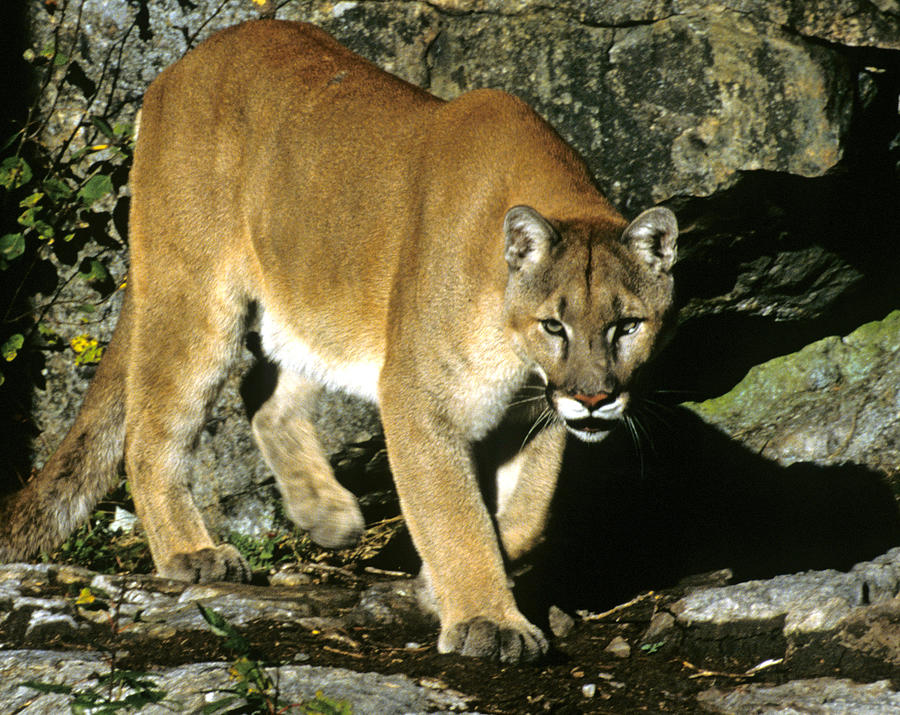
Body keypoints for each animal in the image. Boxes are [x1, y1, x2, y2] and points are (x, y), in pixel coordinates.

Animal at [0, 19, 676, 664]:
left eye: (628, 325)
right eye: (554, 326)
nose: (594, 399)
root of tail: (178, 68)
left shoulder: (535, 414)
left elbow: (525, 518)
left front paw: (439, 589)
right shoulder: (419, 399)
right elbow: (454, 514)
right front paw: (487, 621)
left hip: (309, 299)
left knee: (264, 391)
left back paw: (326, 513)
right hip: (193, 295)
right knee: (151, 430)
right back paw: (192, 552)